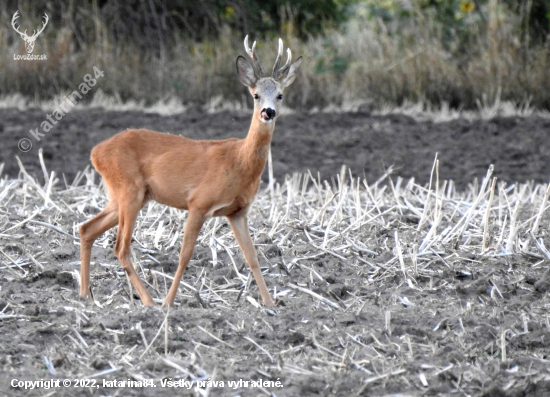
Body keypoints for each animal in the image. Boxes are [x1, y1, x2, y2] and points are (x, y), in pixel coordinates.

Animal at [78, 35, 302, 306]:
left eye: (280, 95)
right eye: (256, 95)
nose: (268, 112)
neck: (239, 162)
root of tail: (96, 152)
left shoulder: (237, 212)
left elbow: (253, 257)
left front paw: (270, 304)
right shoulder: (198, 202)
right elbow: (185, 255)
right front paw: (169, 302)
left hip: (127, 195)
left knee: (86, 229)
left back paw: (85, 294)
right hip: (130, 190)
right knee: (120, 246)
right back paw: (150, 301)